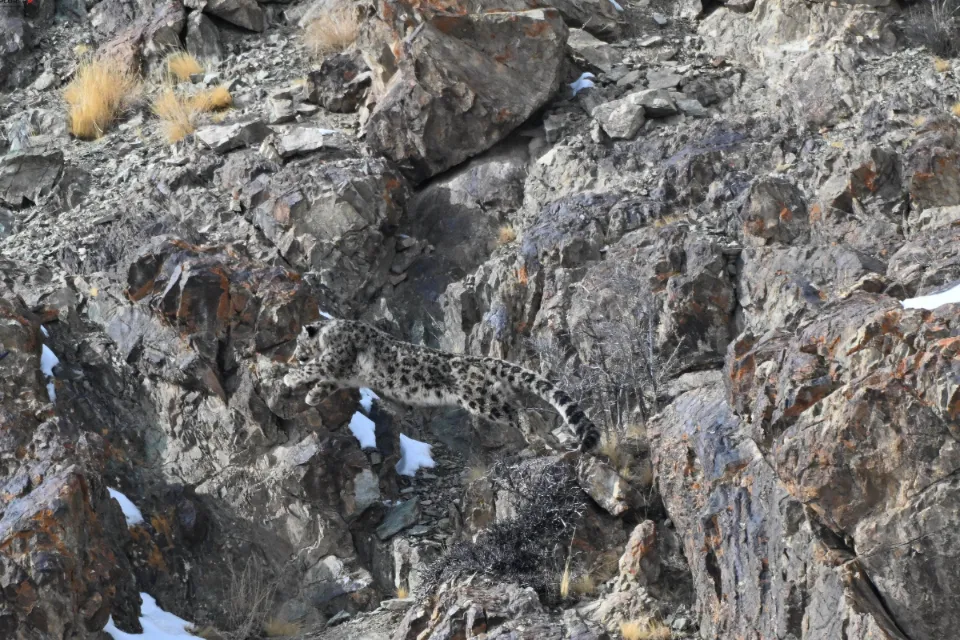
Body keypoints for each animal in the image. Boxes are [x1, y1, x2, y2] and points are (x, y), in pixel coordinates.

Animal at [282, 319, 600, 452]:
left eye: (298, 343)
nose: (294, 354)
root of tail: (479, 359)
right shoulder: (342, 375)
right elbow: (326, 383)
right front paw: (312, 396)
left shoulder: (335, 360)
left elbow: (314, 368)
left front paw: (289, 377)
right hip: (496, 393)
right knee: (528, 409)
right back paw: (548, 438)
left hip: (481, 399)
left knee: (520, 413)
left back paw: (534, 437)